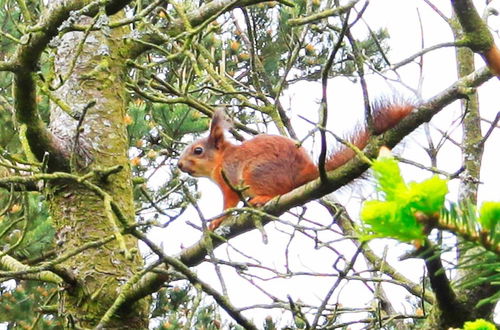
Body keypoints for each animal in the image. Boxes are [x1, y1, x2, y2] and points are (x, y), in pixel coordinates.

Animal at [178, 103, 412, 229]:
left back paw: (261, 198)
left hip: (256, 172)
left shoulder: (229, 180)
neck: (221, 159)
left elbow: (229, 204)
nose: (179, 165)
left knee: (278, 190)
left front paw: (217, 221)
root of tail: (304, 172)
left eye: (198, 150)